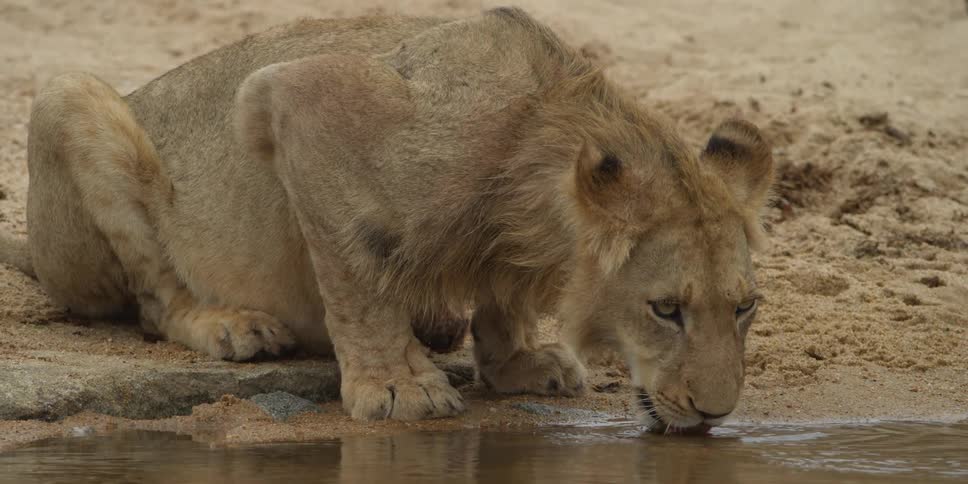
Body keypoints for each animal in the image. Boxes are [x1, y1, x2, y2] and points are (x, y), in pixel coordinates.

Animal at [0, 8, 773, 428]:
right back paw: (231, 325)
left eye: (745, 308)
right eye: (666, 309)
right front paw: (399, 387)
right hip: (69, 96)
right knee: (156, 302)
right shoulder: (297, 99)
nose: (717, 414)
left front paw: (518, 360)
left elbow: (502, 290)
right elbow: (356, 276)